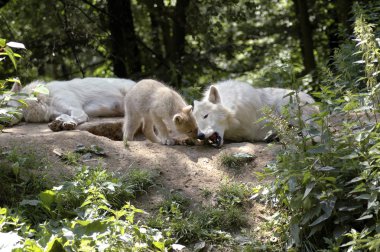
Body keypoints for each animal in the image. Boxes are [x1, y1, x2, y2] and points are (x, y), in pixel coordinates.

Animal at [5, 77, 135, 131]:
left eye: (6, 105)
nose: (2, 122)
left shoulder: (77, 109)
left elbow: (75, 117)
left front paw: (67, 123)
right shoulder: (55, 113)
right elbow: (62, 115)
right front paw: (59, 122)